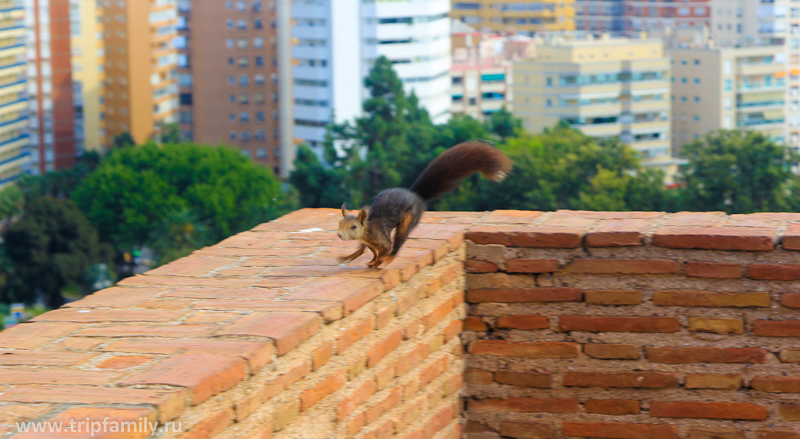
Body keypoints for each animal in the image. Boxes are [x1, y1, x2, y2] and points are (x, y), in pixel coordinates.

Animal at [338, 143, 512, 270]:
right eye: (339, 224)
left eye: (354, 227)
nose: (339, 235)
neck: (366, 231)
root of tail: (416, 196)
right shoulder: (367, 242)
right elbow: (364, 249)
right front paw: (350, 257)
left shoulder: (380, 238)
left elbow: (384, 250)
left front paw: (378, 262)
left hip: (409, 218)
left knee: (399, 240)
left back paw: (390, 258)